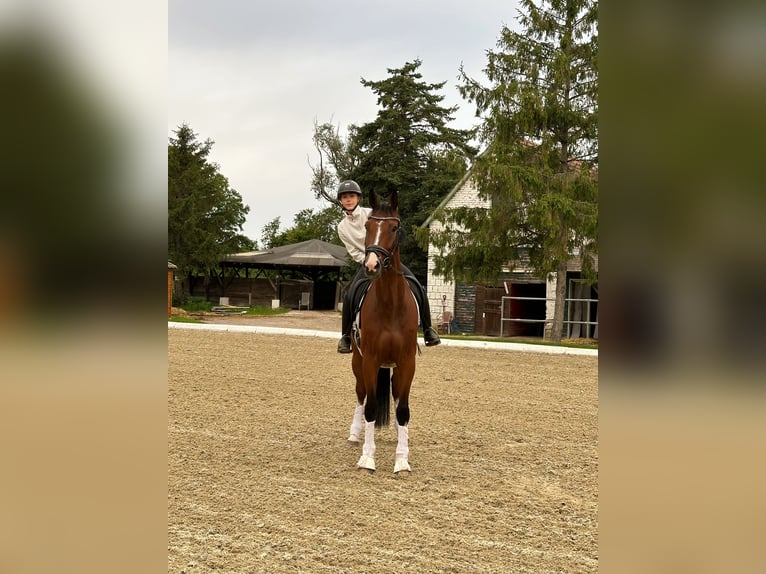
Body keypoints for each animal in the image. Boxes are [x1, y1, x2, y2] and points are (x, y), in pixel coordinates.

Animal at [348, 191, 420, 474]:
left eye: (394, 228)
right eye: (367, 227)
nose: (372, 266)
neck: (390, 304)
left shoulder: (407, 363)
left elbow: (403, 410)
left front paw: (402, 460)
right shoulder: (370, 360)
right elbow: (370, 407)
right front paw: (367, 458)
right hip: (358, 362)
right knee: (361, 395)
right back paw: (354, 434)